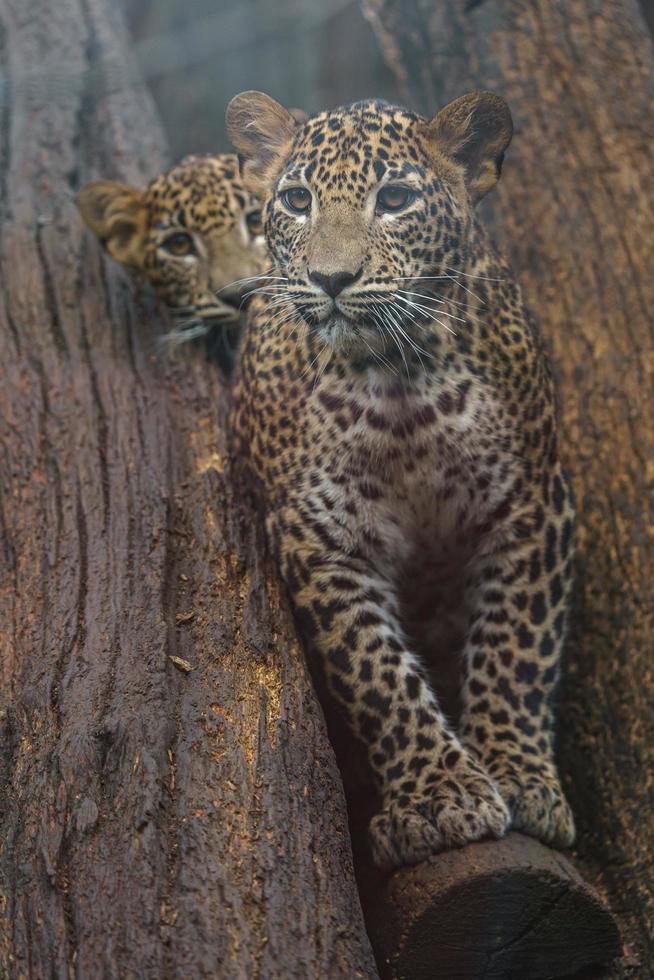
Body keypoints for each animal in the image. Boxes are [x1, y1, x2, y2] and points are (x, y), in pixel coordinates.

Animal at [228, 90, 576, 864]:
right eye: (296, 200)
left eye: (394, 200)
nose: (331, 280)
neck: (398, 386)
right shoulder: (322, 538)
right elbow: (375, 673)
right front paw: (439, 796)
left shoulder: (534, 503)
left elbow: (517, 648)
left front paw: (519, 776)